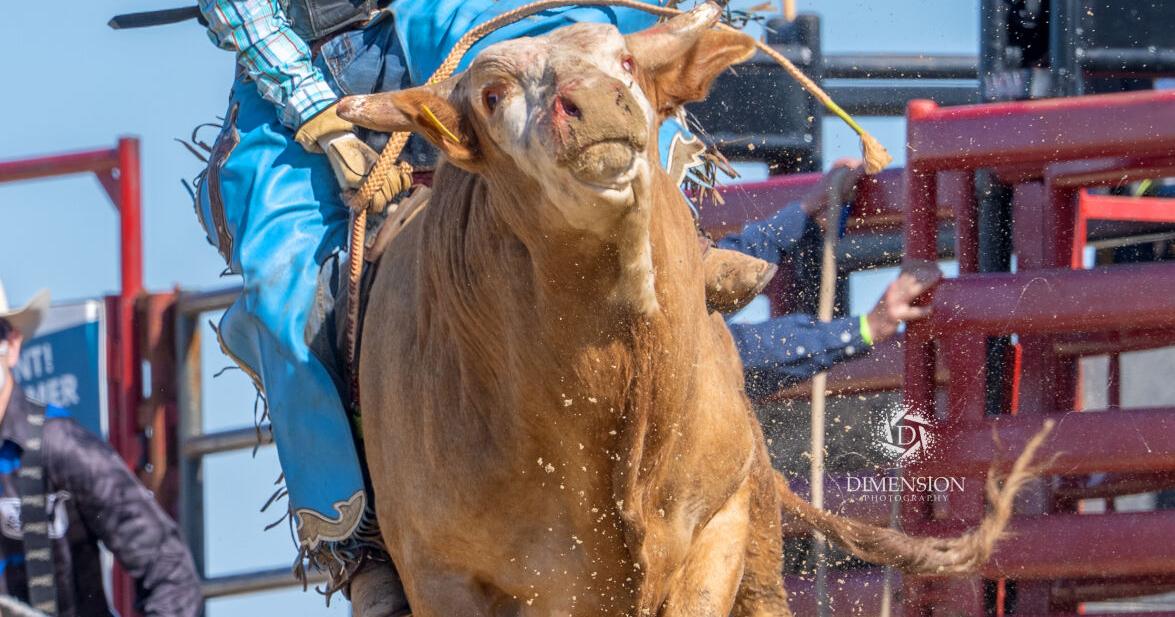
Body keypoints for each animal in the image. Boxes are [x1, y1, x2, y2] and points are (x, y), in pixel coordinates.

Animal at [338, 4, 1047, 615]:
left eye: (625, 60)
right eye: (492, 96)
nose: (595, 103)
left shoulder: (718, 523)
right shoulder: (442, 574)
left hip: (759, 551)